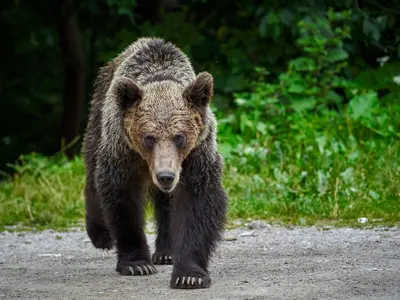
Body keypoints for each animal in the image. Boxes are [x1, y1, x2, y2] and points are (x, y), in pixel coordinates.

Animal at [82, 37, 228, 288]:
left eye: (179, 137)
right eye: (148, 138)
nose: (165, 176)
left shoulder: (197, 154)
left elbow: (197, 202)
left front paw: (189, 274)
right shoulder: (124, 152)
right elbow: (123, 200)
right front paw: (137, 263)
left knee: (166, 204)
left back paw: (167, 252)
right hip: (98, 120)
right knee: (93, 173)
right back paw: (101, 235)